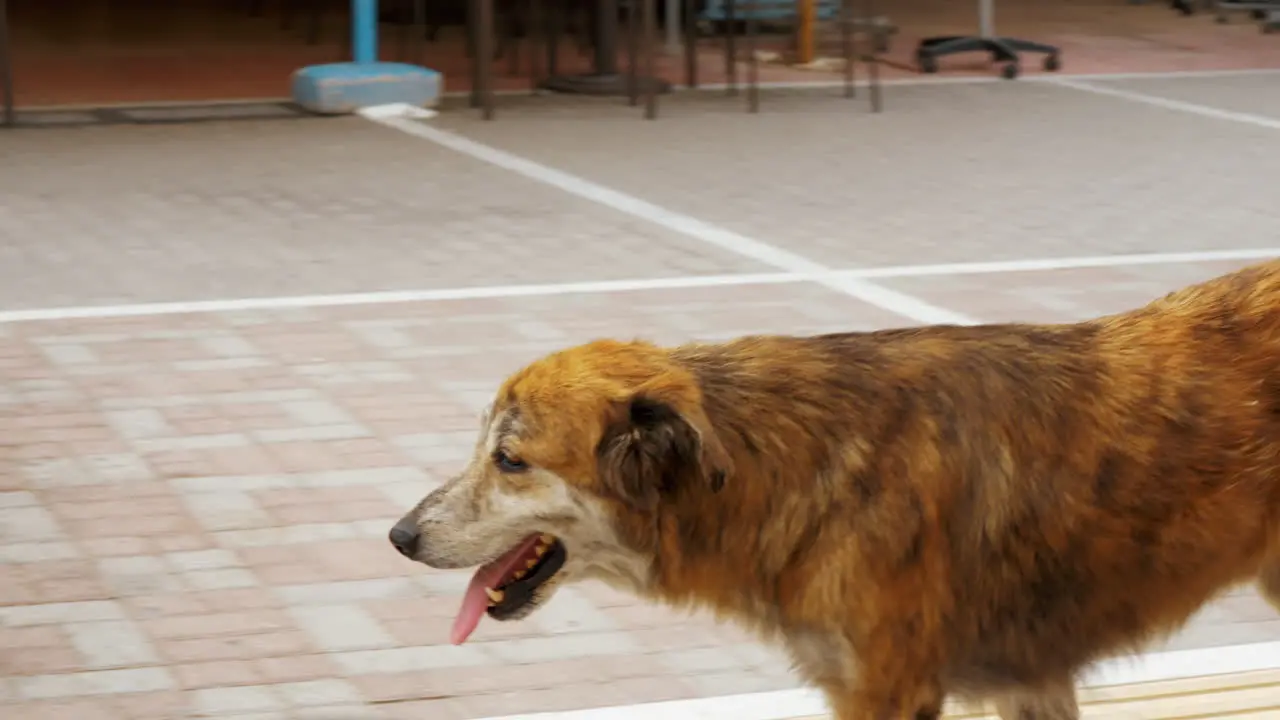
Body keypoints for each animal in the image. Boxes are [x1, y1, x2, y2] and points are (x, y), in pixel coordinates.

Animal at [386, 260, 1280, 712]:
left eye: (509, 459)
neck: (791, 470)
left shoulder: (889, 692)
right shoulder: (1027, 685)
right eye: (484, 447)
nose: (398, 536)